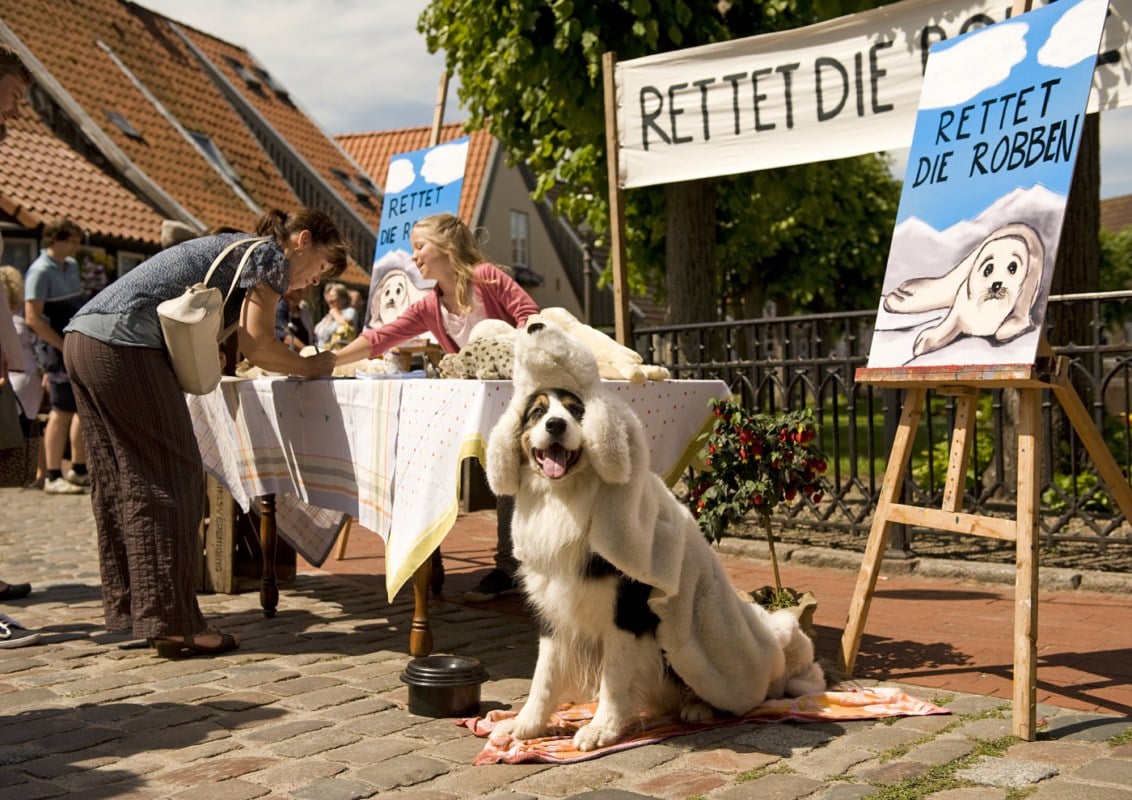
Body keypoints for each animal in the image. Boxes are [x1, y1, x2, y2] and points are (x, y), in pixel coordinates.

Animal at [484, 319, 824, 751]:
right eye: (537, 412)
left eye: (578, 411)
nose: (556, 426)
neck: (567, 499)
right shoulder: (552, 606)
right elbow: (544, 675)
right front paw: (525, 725)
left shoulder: (627, 610)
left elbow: (614, 675)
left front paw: (601, 729)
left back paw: (698, 708)